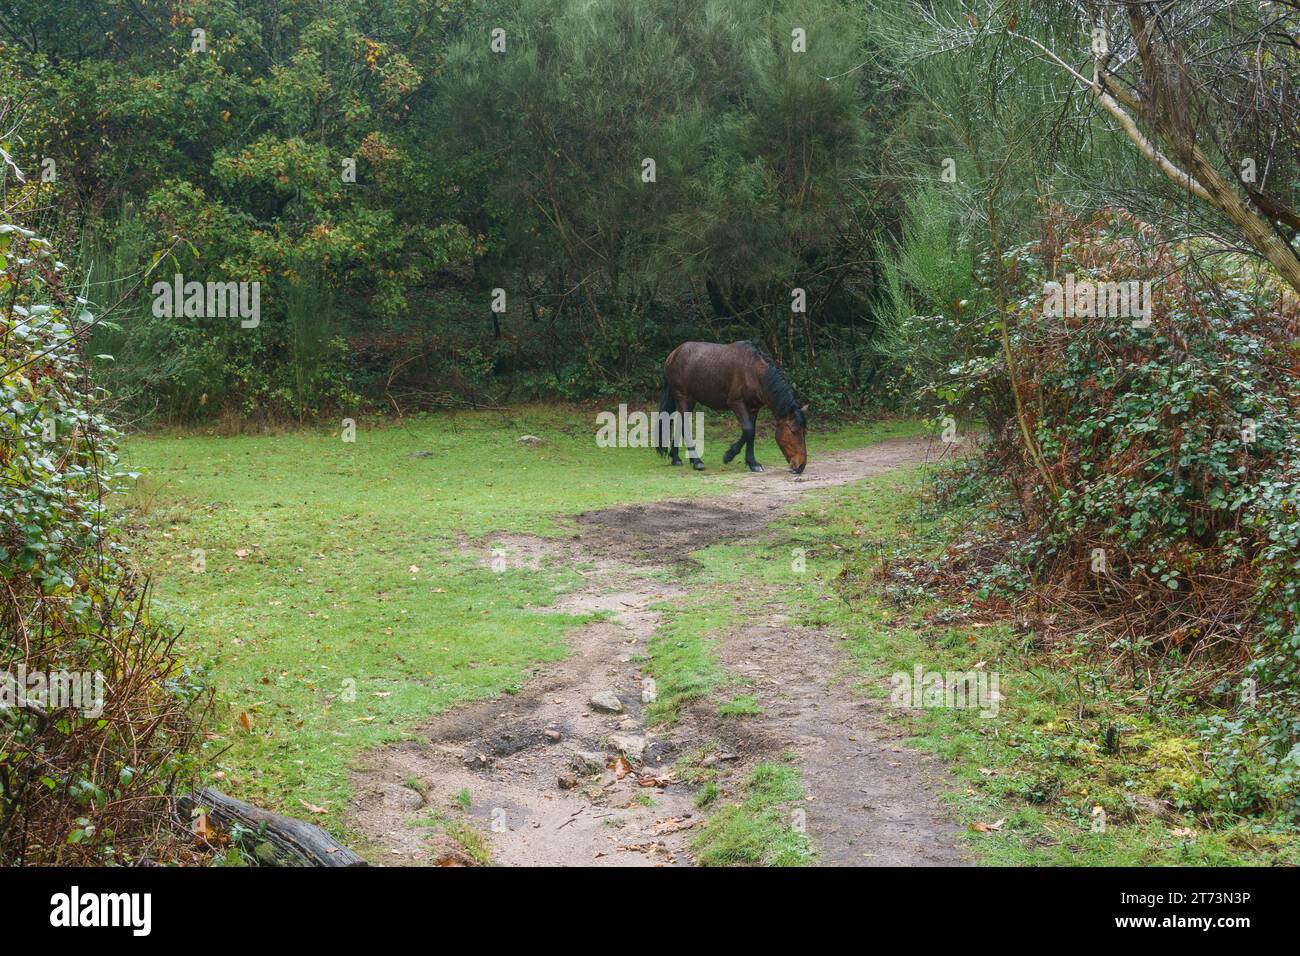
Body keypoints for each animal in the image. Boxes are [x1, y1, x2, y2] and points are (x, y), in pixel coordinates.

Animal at [655, 343, 806, 476]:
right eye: (793, 431)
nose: (801, 466)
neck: (753, 371)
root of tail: (673, 354)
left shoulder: (753, 408)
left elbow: (751, 434)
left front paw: (753, 463)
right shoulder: (736, 403)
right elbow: (748, 430)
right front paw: (729, 455)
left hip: (691, 400)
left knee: (679, 424)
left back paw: (676, 458)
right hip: (682, 397)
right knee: (684, 426)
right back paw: (697, 461)